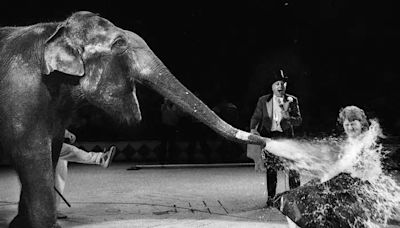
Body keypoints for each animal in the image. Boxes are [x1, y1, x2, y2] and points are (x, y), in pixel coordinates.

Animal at [0, 11, 268, 228]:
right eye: (120, 44)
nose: (264, 142)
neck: (56, 28)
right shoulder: (23, 95)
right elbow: (33, 156)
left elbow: (52, 150)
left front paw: (19, 224)